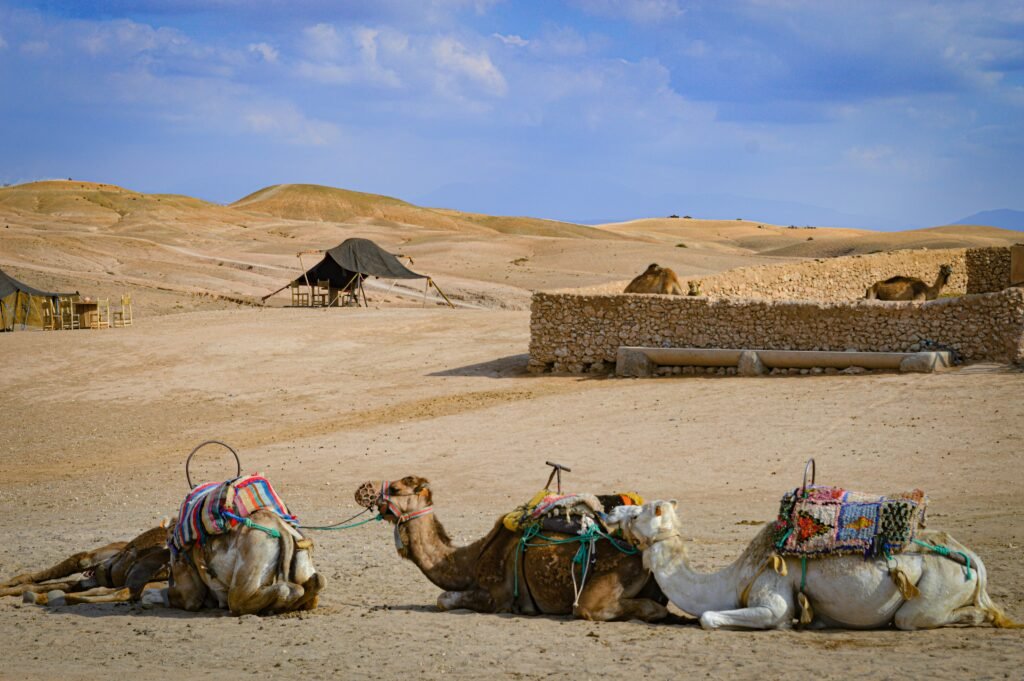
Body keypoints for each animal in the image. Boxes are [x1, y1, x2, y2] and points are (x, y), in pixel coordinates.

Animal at [166, 509, 323, 614]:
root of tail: (279, 527)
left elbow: (190, 600)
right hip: (301, 553)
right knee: (316, 582)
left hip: (251, 560)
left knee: (239, 601)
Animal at [356, 477, 667, 622]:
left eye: (395, 489)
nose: (362, 490)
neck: (468, 562)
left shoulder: (497, 596)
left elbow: (443, 599)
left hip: (610, 581)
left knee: (591, 608)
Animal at [606, 497, 1015, 630]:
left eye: (639, 512)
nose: (611, 511)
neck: (729, 579)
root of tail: (973, 559)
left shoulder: (773, 594)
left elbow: (708, 617)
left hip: (935, 588)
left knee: (913, 618)